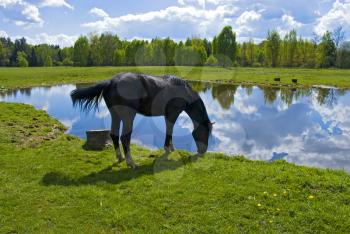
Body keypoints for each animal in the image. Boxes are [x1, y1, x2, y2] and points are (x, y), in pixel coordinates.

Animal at [71, 72, 212, 168]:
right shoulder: (173, 114)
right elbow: (169, 130)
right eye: (205, 132)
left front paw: (171, 148)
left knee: (114, 135)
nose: (203, 151)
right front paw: (167, 149)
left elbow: (169, 130)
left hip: (115, 115)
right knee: (125, 137)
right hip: (128, 116)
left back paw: (120, 157)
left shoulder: (168, 115)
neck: (182, 91)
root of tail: (111, 82)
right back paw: (131, 163)